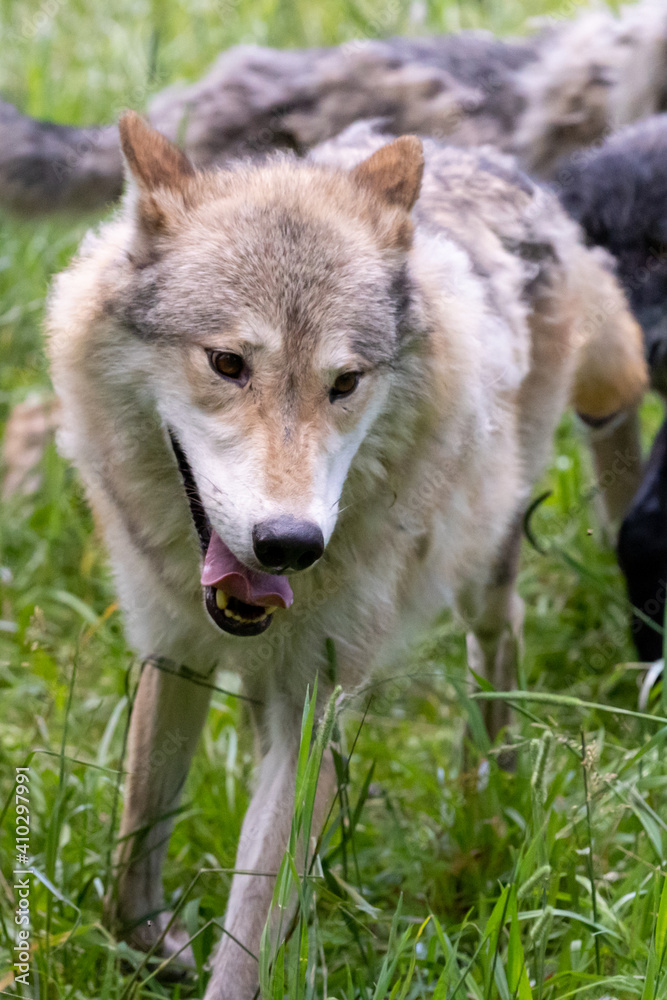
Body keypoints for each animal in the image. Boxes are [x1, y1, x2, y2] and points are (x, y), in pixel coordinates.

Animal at [46, 113, 646, 998]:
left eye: (344, 382)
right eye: (227, 363)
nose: (289, 544)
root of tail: (497, 162)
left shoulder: (315, 708)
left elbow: (250, 934)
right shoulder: (171, 651)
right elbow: (132, 850)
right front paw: (153, 949)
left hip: (493, 552)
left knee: (503, 631)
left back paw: (489, 796)